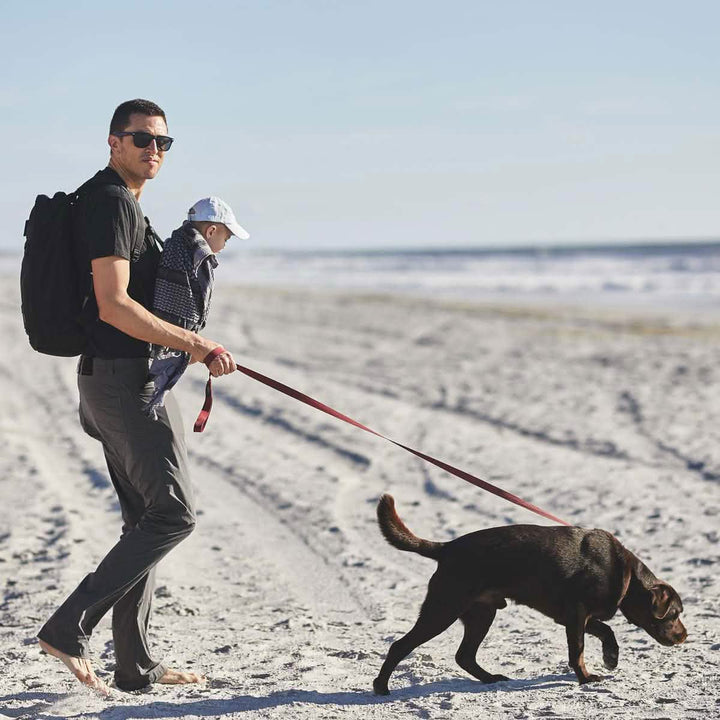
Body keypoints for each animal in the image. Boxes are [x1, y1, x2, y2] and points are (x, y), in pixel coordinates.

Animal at [374, 492, 688, 696]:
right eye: (674, 613)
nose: (685, 636)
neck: (625, 573)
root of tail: (446, 548)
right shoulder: (576, 615)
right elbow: (578, 651)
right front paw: (586, 678)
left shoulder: (575, 617)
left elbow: (606, 630)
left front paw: (610, 656)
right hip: (443, 608)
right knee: (400, 646)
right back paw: (381, 687)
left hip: (482, 612)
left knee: (464, 656)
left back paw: (490, 679)